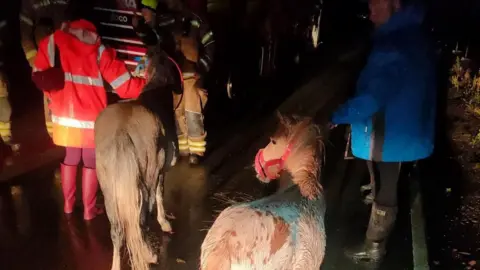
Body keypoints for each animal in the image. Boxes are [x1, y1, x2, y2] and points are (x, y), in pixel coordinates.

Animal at [95, 45, 180, 270]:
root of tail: (121, 132)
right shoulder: (160, 169)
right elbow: (159, 194)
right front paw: (164, 222)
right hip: (146, 173)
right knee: (142, 216)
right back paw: (150, 254)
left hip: (109, 187)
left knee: (117, 229)